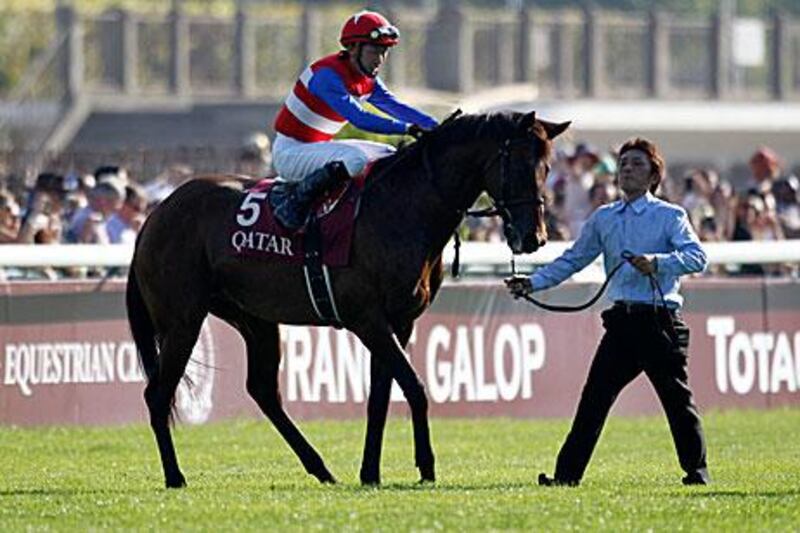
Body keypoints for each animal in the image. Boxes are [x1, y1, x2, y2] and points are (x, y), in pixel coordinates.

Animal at [126, 111, 568, 486]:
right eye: (520, 166)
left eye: (547, 168)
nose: (534, 238)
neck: (404, 207)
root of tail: (157, 213)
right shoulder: (367, 319)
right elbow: (414, 386)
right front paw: (426, 467)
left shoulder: (399, 321)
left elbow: (380, 397)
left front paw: (370, 472)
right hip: (182, 319)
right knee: (157, 394)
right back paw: (175, 476)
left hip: (254, 317)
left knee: (264, 390)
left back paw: (321, 468)